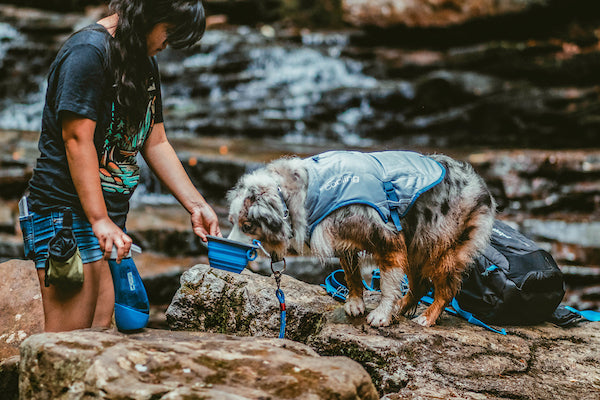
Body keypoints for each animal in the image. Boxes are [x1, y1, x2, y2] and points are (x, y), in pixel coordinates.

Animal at [227, 152, 494, 326]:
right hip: (417, 242)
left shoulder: (388, 238)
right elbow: (352, 275)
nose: (229, 244)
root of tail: (481, 186)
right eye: (231, 221)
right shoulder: (344, 240)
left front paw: (381, 315)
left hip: (439, 246)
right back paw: (401, 306)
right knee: (420, 285)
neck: (297, 195)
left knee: (445, 289)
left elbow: (387, 283)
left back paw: (427, 317)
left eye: (247, 225)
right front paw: (355, 304)